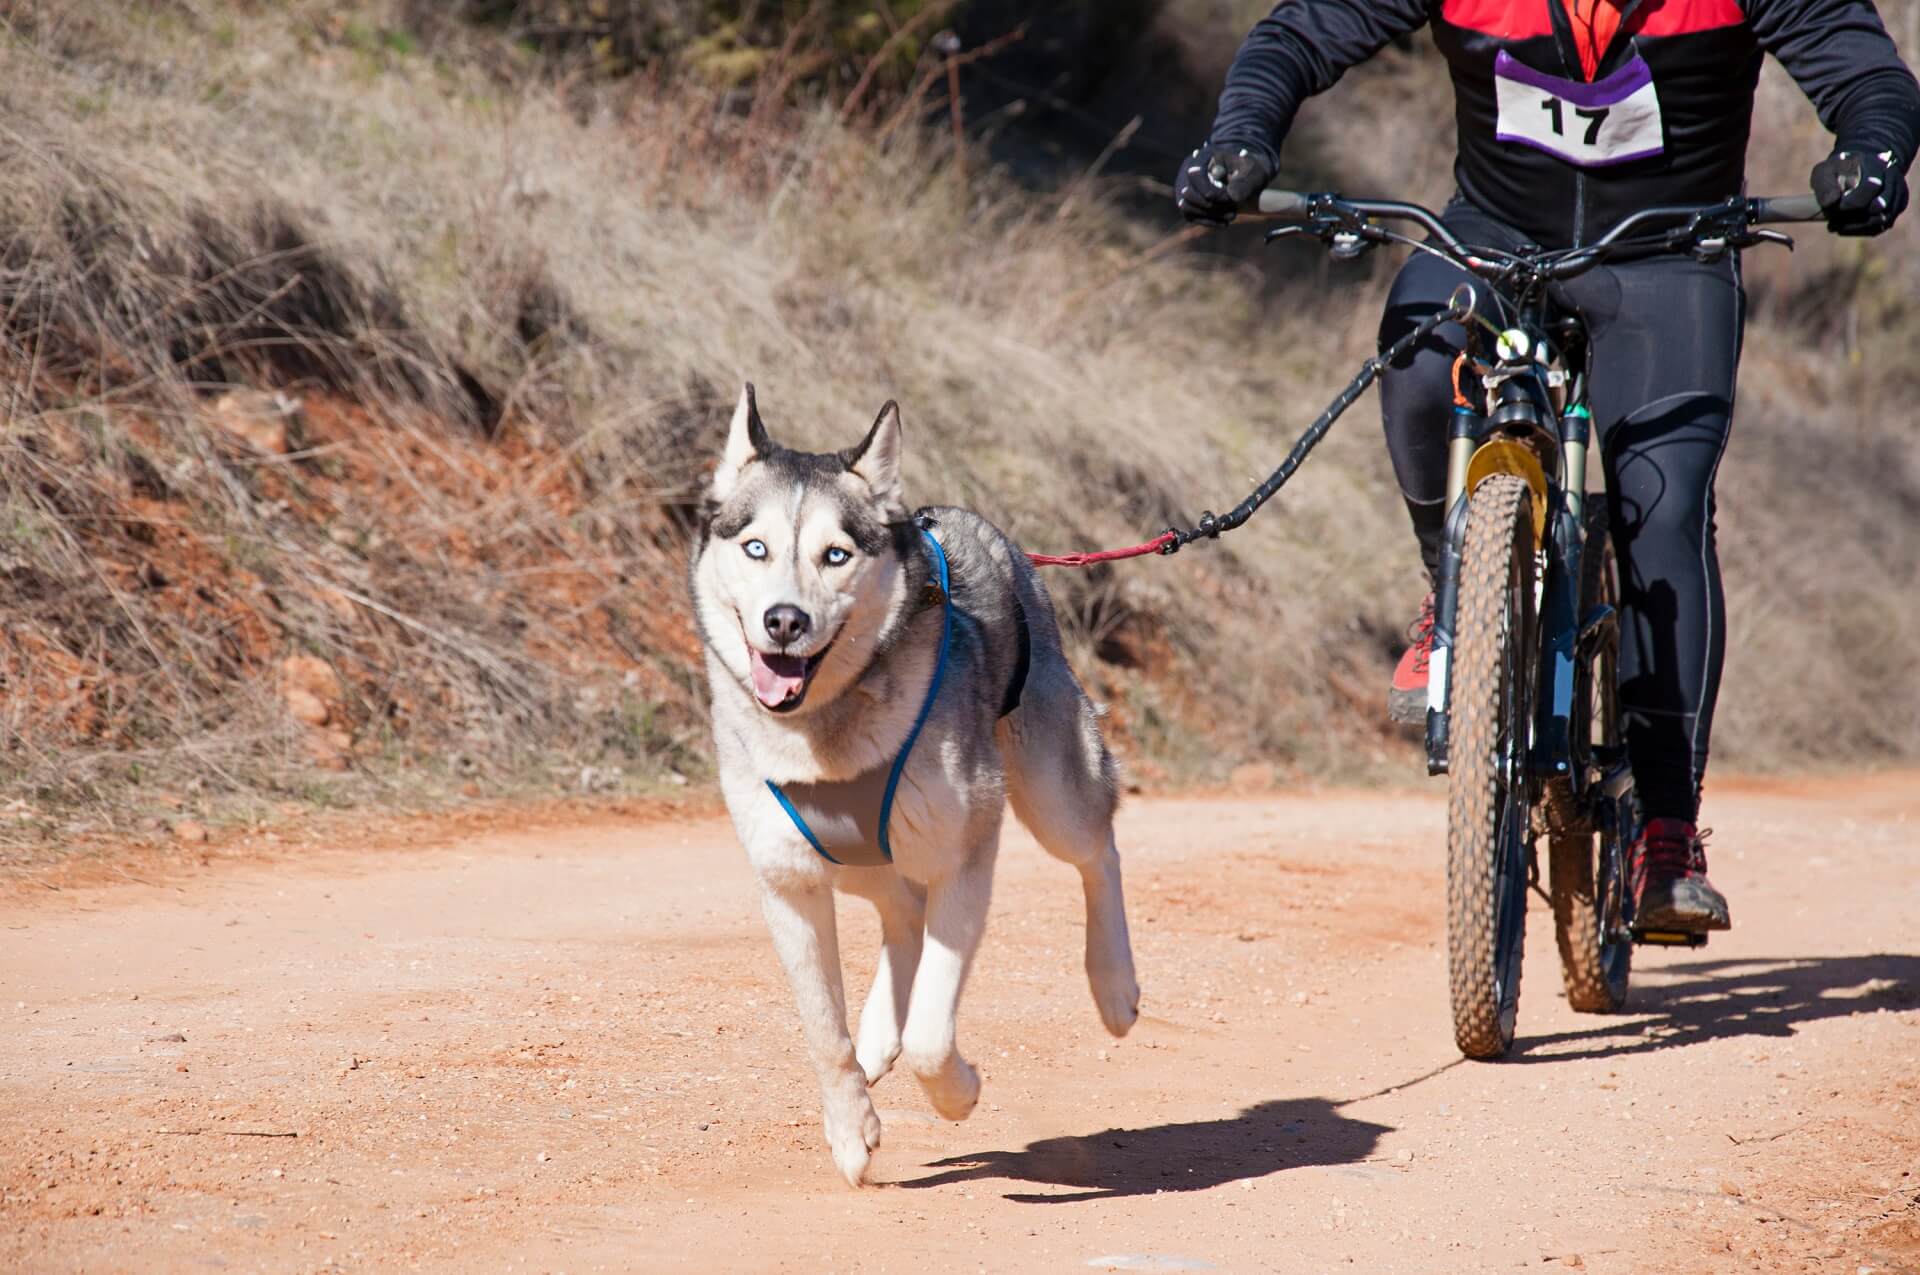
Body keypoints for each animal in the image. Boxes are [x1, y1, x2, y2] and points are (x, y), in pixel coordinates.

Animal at [695, 384, 1128, 1182]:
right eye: (755, 547)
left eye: (835, 554)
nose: (783, 620)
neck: (826, 732)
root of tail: (971, 526)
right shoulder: (789, 881)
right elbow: (823, 1030)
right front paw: (850, 1124)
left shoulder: (966, 854)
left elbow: (932, 1030)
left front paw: (957, 1092)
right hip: (854, 857)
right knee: (900, 911)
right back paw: (875, 1037)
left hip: (1053, 794)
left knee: (1096, 850)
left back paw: (1114, 984)